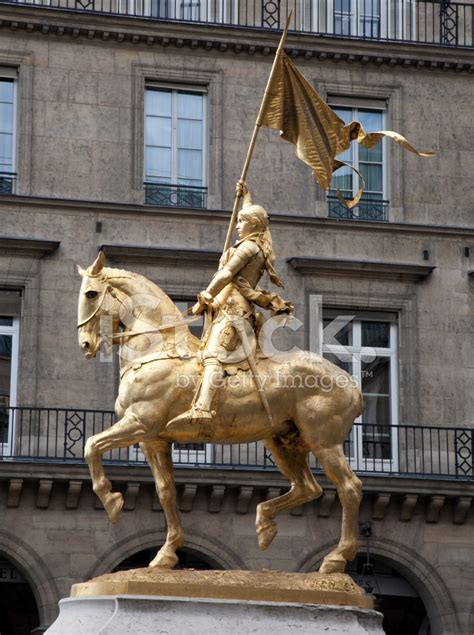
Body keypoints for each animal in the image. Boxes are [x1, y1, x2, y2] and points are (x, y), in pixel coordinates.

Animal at [77, 253, 362, 576]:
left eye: (91, 294)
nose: (85, 344)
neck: (159, 350)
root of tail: (350, 383)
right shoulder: (153, 440)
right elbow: (166, 491)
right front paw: (166, 554)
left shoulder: (139, 423)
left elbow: (91, 446)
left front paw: (111, 500)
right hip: (282, 441)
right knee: (307, 487)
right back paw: (264, 525)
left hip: (323, 443)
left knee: (349, 488)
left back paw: (336, 558)